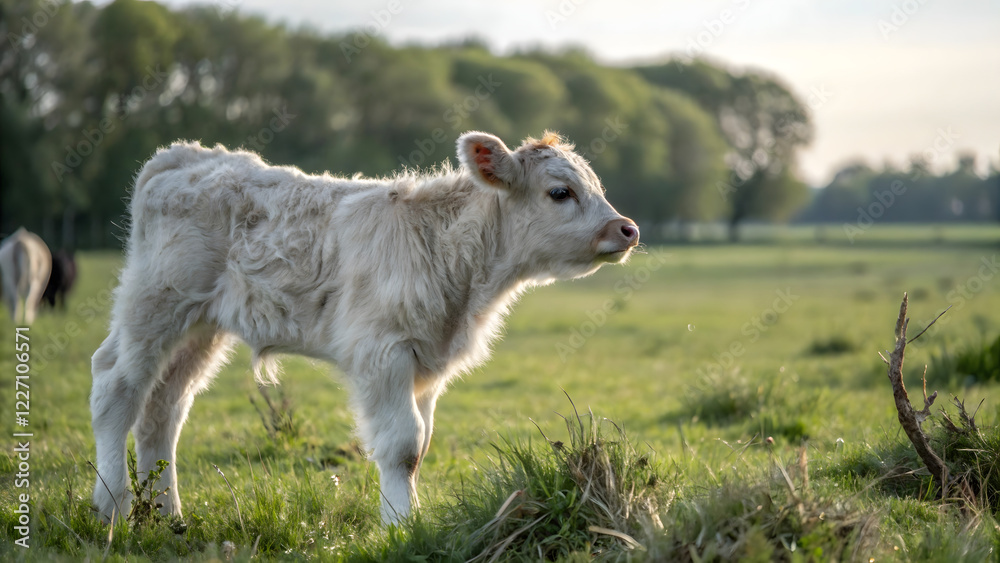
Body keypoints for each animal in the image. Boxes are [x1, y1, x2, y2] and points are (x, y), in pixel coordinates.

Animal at [90, 131, 639, 525]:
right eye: (560, 192)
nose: (627, 229)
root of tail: (184, 155)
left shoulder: (427, 365)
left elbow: (422, 444)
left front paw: (410, 519)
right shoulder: (383, 353)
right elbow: (403, 446)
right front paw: (400, 526)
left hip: (200, 328)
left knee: (163, 408)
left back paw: (166, 516)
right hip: (154, 306)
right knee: (116, 387)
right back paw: (111, 507)